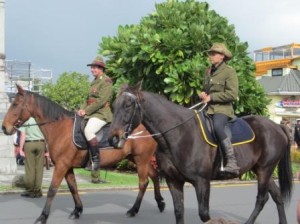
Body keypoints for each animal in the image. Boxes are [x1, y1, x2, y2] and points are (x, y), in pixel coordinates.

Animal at [1, 84, 165, 224]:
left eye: (15, 104)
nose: (4, 127)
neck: (59, 127)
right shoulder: (67, 167)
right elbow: (73, 187)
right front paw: (77, 210)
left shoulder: (61, 166)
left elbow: (52, 190)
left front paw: (43, 216)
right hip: (138, 159)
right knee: (154, 175)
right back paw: (160, 203)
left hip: (141, 159)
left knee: (143, 182)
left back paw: (134, 210)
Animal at [108, 83, 292, 224]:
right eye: (114, 105)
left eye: (128, 105)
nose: (113, 139)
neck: (179, 134)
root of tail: (277, 126)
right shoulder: (174, 181)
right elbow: (179, 212)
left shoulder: (202, 182)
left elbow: (205, 215)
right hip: (261, 170)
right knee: (276, 196)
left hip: (265, 169)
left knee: (261, 199)